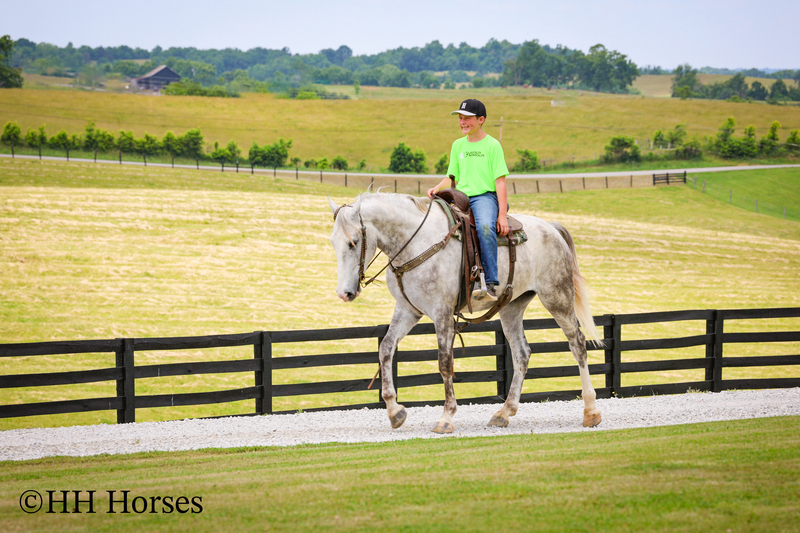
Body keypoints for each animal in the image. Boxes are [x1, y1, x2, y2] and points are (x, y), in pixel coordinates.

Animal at [328, 192, 603, 433]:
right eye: (333, 242)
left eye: (354, 242)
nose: (344, 293)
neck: (416, 242)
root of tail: (551, 228)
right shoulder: (408, 311)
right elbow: (385, 348)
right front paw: (395, 411)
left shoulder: (442, 313)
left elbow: (444, 363)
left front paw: (446, 417)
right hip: (512, 307)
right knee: (522, 354)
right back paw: (504, 412)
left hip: (557, 297)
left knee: (578, 344)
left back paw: (590, 411)